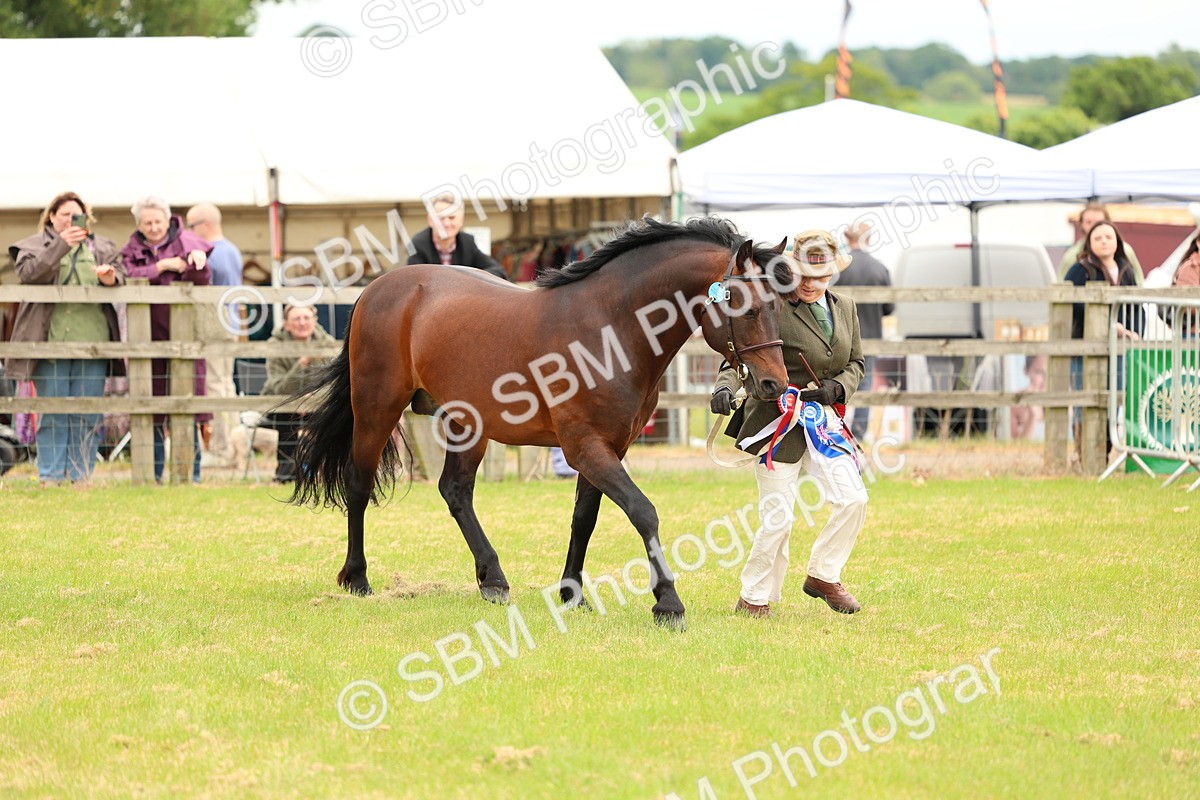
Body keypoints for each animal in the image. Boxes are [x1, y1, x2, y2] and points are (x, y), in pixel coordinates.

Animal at [290, 216, 793, 628]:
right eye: (747, 309)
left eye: (779, 309)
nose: (774, 384)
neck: (610, 327)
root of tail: (377, 288)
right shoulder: (586, 446)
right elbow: (642, 511)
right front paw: (668, 603)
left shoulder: (608, 447)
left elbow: (584, 519)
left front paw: (572, 594)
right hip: (377, 407)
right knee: (359, 483)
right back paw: (358, 578)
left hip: (467, 424)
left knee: (455, 491)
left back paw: (492, 579)